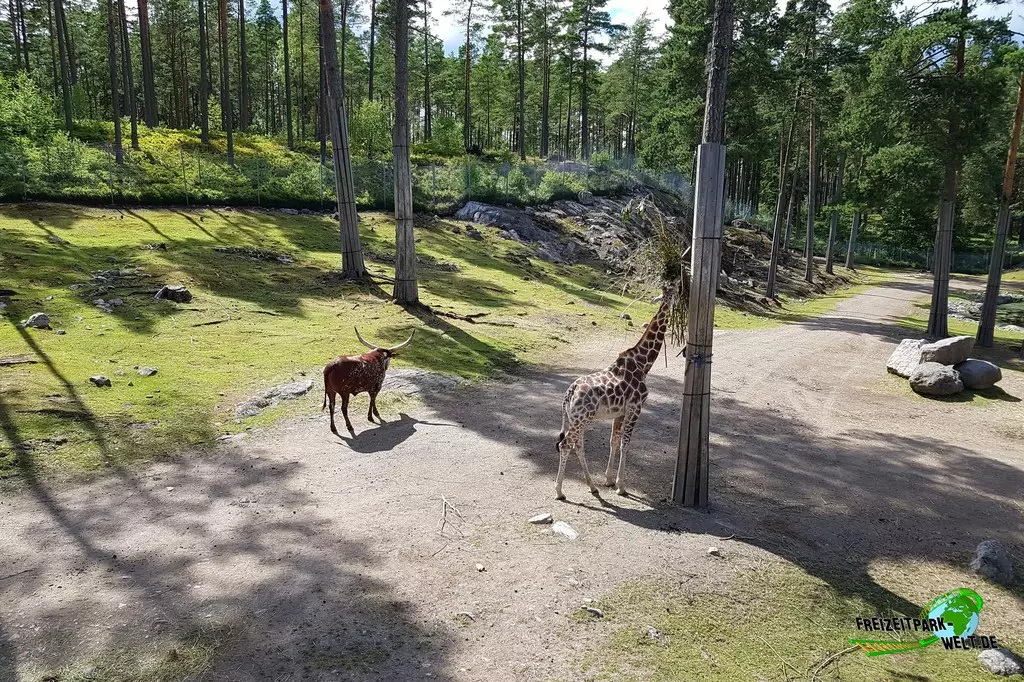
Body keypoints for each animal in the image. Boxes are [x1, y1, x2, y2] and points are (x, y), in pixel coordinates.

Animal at [555, 280, 680, 500]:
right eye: (672, 292)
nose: (680, 296)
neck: (643, 363)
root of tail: (569, 393)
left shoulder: (619, 413)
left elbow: (614, 441)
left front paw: (608, 480)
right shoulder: (635, 408)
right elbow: (625, 444)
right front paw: (621, 486)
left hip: (575, 419)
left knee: (577, 445)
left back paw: (593, 486)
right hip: (582, 419)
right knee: (566, 445)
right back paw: (560, 491)